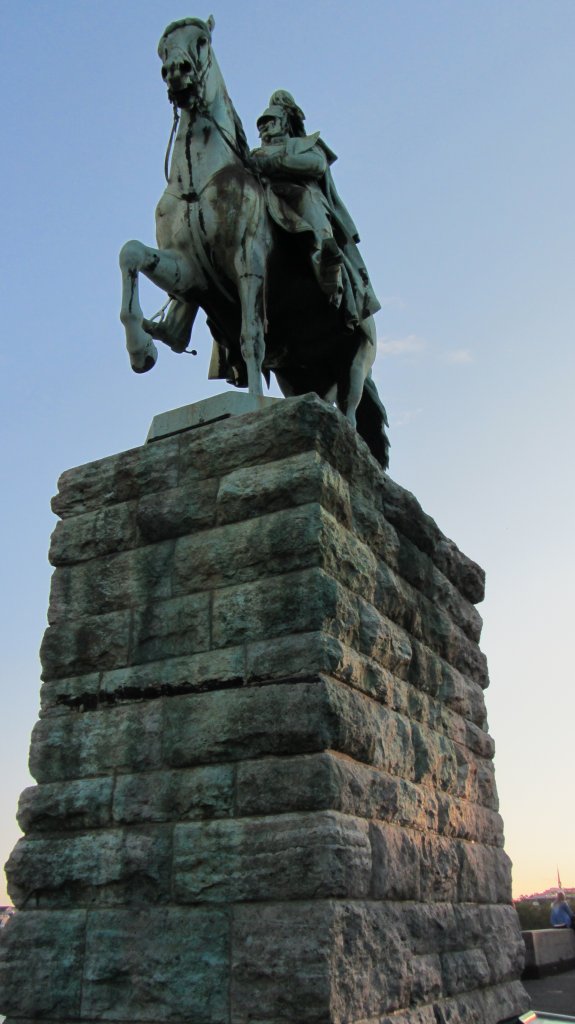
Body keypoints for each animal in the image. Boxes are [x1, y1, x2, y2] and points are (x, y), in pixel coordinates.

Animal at [120, 18, 388, 466]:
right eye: (161, 47)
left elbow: (251, 335)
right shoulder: (189, 271)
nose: (176, 72)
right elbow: (131, 254)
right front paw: (143, 350)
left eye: (202, 40)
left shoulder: (248, 261)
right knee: (318, 395)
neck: (198, 180)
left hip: (358, 354)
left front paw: (252, 403)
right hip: (299, 371)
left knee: (350, 408)